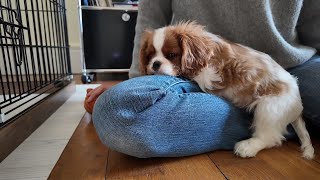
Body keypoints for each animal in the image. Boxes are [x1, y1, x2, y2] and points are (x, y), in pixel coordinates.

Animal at [139, 22, 314, 159]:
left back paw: (248, 147)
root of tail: (298, 105)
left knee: (270, 137)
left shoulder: (211, 74)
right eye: (150, 56)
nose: (155, 64)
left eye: (172, 55)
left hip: (270, 108)